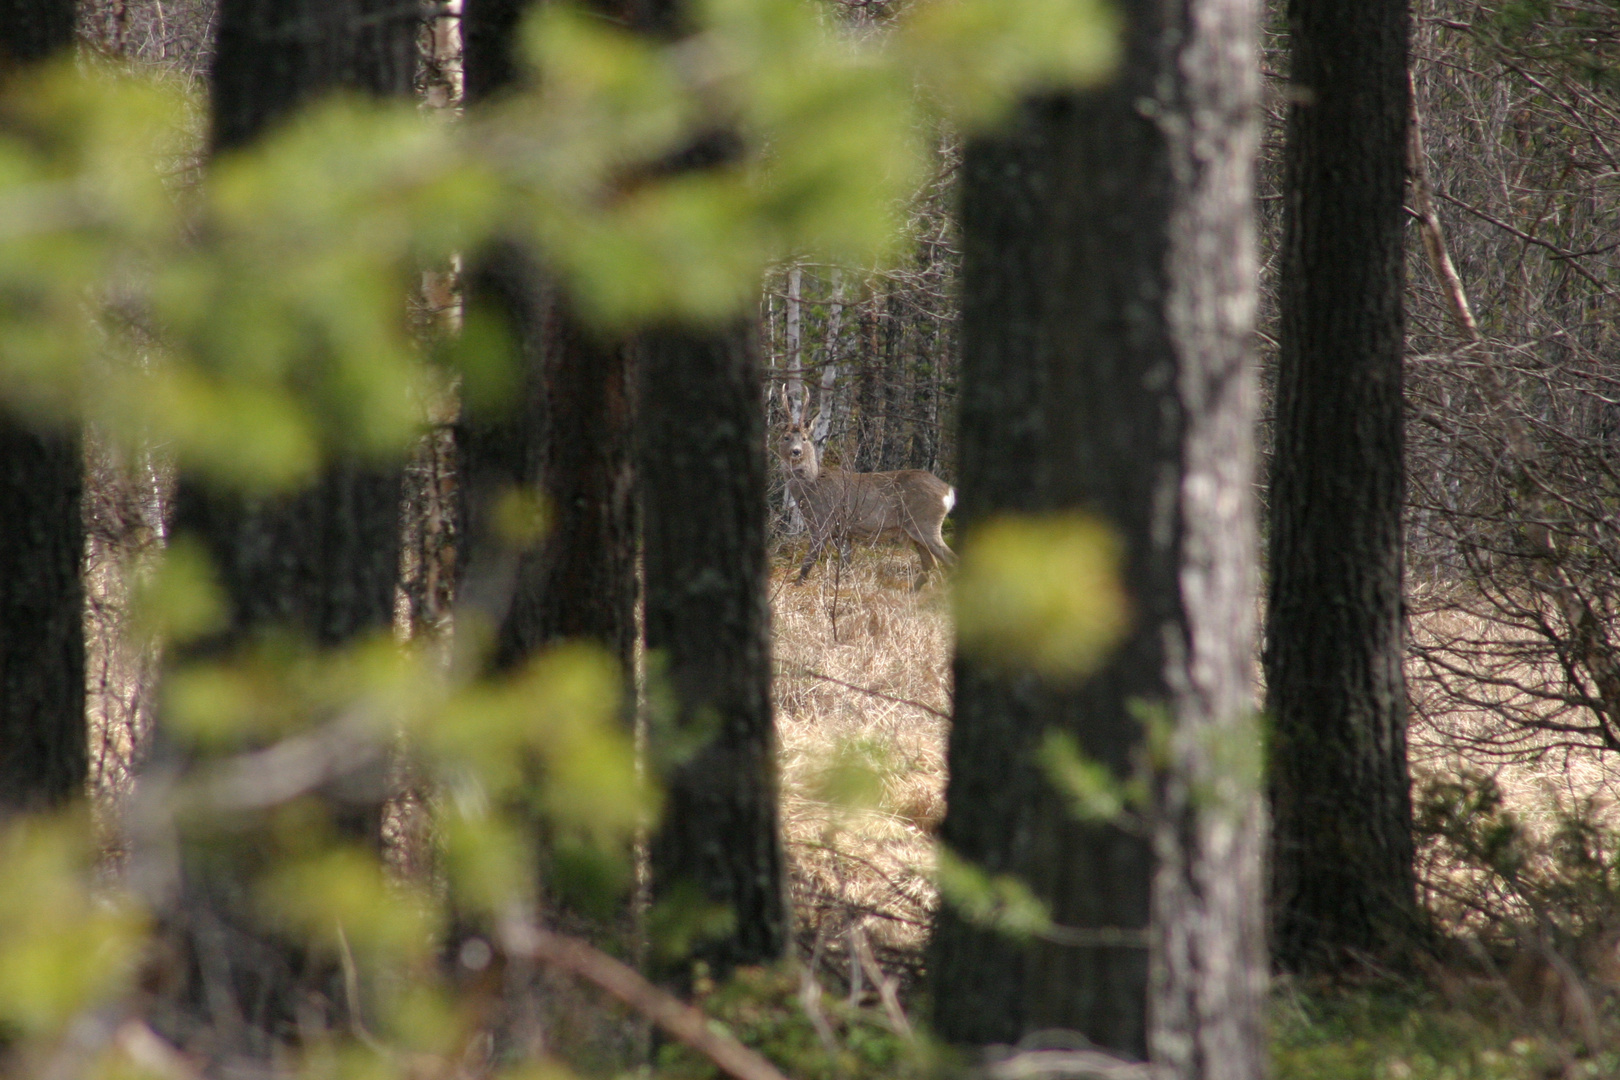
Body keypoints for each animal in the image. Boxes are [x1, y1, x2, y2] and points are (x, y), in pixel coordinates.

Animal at [777, 390, 952, 592]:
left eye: (804, 438)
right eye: (786, 437)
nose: (796, 452)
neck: (811, 487)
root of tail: (948, 491)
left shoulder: (822, 521)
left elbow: (808, 562)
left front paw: (797, 586)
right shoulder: (844, 530)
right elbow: (845, 565)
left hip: (926, 522)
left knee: (950, 560)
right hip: (914, 530)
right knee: (930, 564)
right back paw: (911, 593)